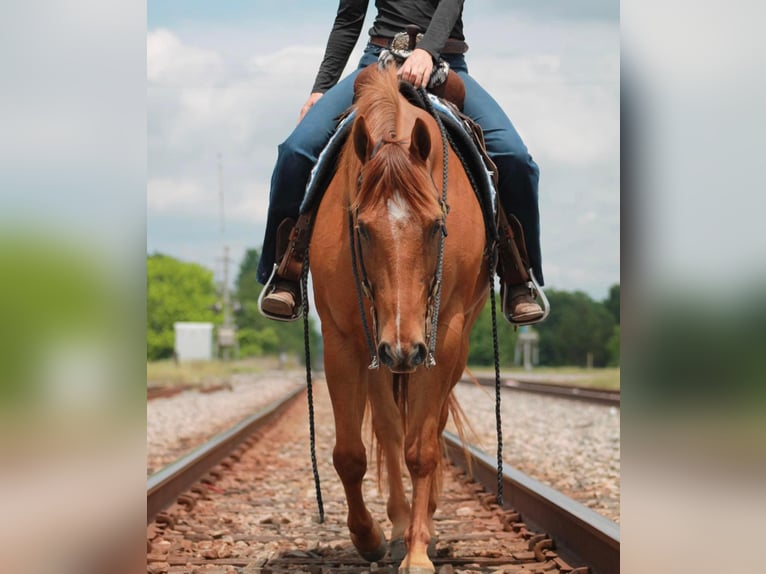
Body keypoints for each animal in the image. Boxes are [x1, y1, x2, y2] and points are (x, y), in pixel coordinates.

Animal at [308, 64, 488, 574]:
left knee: (431, 424)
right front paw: (368, 537)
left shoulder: (441, 336)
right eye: (362, 228)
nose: (404, 348)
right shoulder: (343, 339)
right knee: (388, 430)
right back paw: (396, 524)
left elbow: (422, 448)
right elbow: (351, 452)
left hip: (447, 346)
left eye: (436, 226)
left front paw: (419, 552)